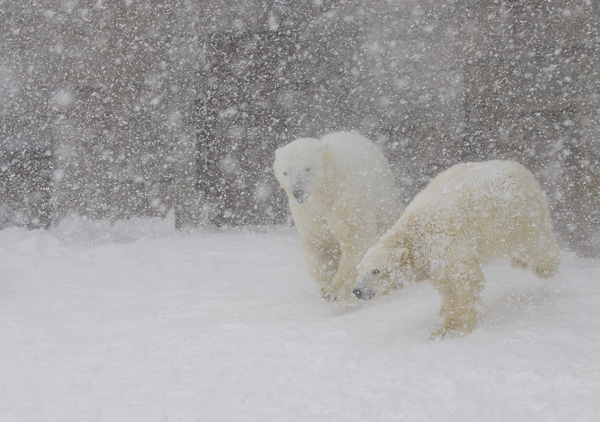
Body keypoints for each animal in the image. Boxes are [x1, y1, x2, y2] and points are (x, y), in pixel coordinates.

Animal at [274, 132, 404, 304]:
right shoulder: (307, 212)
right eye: (285, 172)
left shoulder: (346, 199)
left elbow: (354, 238)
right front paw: (326, 287)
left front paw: (334, 291)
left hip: (384, 195)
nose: (298, 191)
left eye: (308, 168)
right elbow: (317, 245)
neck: (325, 192)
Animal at [354, 160, 560, 338]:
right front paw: (443, 310)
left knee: (534, 245)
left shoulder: (445, 244)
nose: (357, 290)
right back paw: (519, 261)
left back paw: (544, 268)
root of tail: (520, 170)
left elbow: (463, 282)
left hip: (516, 216)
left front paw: (447, 330)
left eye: (375, 271)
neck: (417, 235)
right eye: (360, 269)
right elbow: (443, 284)